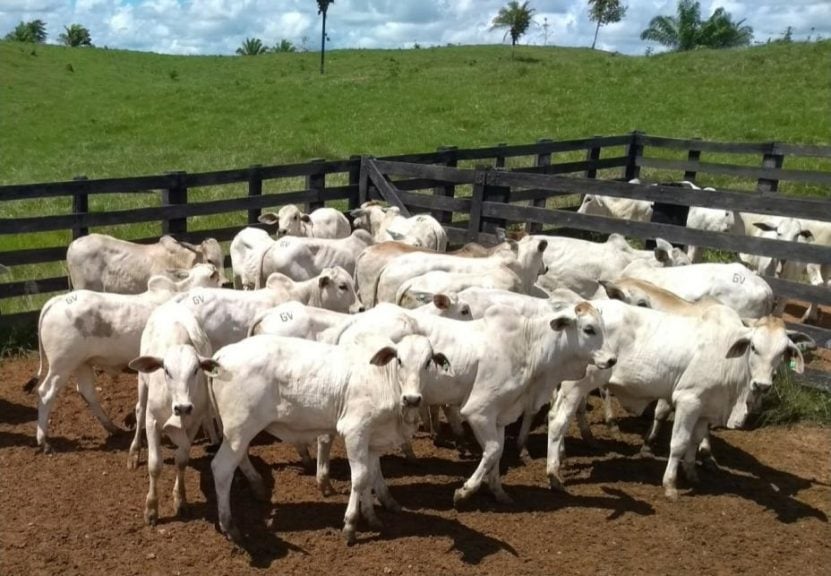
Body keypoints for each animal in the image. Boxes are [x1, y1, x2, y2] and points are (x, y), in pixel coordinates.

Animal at [26, 266, 223, 454]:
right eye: (213, 275)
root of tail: (56, 300)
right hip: (61, 365)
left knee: (86, 391)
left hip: (82, 364)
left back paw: (112, 427)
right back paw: (44, 441)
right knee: (46, 393)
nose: (225, 284)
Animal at [125, 304, 219, 524]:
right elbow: (155, 465)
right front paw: (151, 509)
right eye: (166, 370)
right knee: (139, 411)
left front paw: (181, 500)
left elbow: (181, 460)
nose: (183, 407)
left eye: (196, 370)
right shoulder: (153, 421)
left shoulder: (193, 424)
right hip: (142, 382)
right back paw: (134, 453)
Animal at [211, 332, 452, 544]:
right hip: (239, 427)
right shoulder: (355, 431)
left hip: (238, 432)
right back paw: (230, 527)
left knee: (239, 458)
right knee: (221, 468)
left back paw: (257, 488)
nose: (412, 399)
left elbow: (371, 475)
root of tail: (224, 353)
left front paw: (372, 517)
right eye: (400, 360)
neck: (384, 381)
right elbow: (360, 478)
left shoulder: (372, 440)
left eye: (428, 362)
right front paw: (350, 525)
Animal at [548, 302, 808, 500]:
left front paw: (692, 473)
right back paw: (554, 475)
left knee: (556, 415)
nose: (762, 385)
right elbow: (680, 443)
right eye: (754, 347)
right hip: (577, 385)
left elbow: (695, 441)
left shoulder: (705, 408)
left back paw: (562, 458)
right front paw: (671, 485)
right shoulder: (688, 400)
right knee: (559, 421)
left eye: (782, 353)